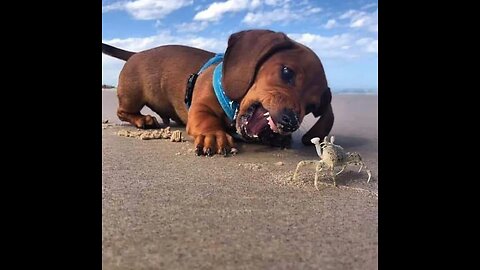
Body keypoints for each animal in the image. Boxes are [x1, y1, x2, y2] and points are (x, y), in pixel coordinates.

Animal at [101, 29, 334, 156]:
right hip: (133, 95)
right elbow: (207, 120)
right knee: (123, 112)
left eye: (312, 106)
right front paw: (213, 135)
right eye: (286, 72)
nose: (291, 123)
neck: (233, 108)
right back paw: (143, 119)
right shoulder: (200, 107)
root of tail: (136, 53)